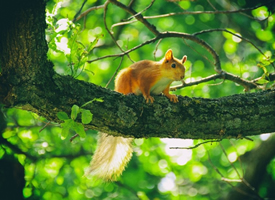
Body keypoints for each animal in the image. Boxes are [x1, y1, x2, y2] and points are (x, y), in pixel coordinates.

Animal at [87, 49, 188, 180]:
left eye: (184, 67)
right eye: (173, 65)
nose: (182, 76)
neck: (164, 77)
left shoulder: (166, 86)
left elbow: (166, 92)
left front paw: (171, 96)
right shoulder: (145, 77)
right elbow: (144, 88)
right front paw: (148, 96)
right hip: (124, 79)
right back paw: (129, 93)